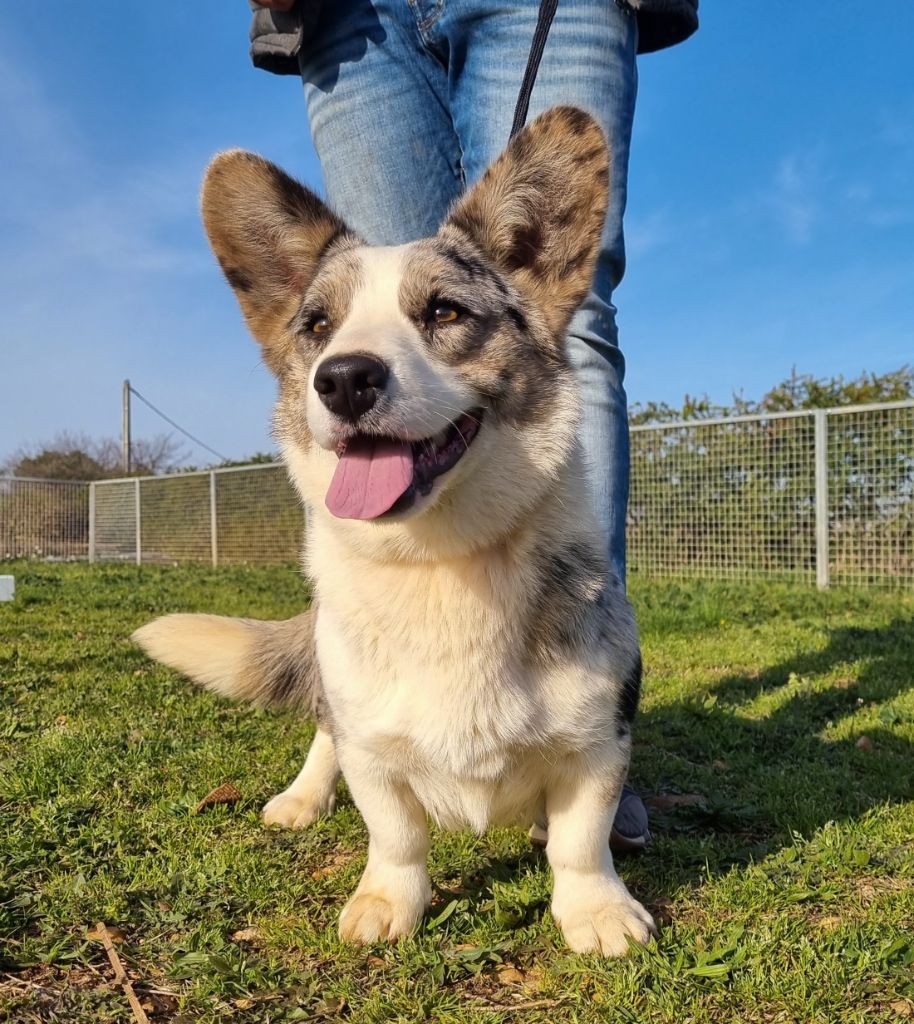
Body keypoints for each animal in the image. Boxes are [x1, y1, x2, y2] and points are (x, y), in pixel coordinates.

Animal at [132, 108, 650, 954]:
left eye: (443, 312)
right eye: (317, 326)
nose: (342, 379)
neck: (442, 559)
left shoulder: (597, 743)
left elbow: (581, 842)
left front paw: (597, 912)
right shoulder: (373, 752)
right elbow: (396, 835)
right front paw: (387, 904)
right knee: (323, 733)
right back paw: (302, 797)